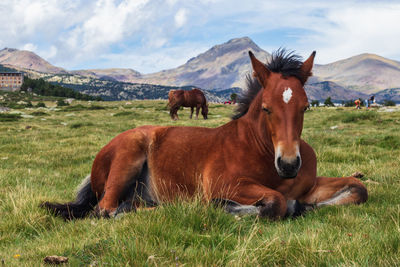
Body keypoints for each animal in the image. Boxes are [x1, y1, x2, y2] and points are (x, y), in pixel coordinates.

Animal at [42, 49, 368, 221]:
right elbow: (276, 201)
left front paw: (305, 205)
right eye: (266, 108)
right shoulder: (224, 183)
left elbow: (358, 188)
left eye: (305, 106)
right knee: (106, 210)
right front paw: (231, 208)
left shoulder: (309, 184)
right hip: (128, 156)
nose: (288, 165)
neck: (261, 149)